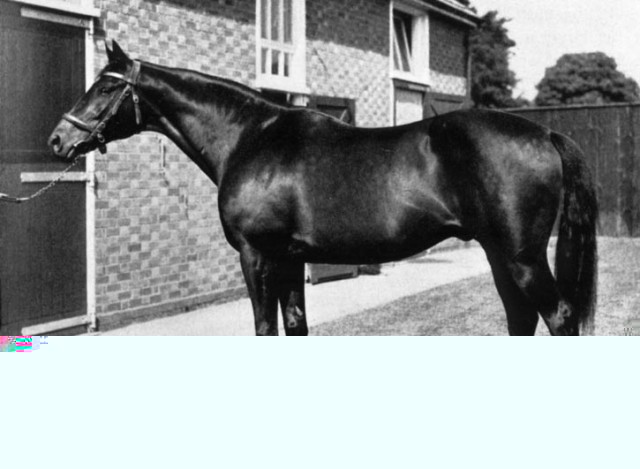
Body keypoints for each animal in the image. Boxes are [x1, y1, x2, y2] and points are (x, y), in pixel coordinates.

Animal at [48, 40, 598, 336]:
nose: (58, 140)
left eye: (106, 85)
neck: (250, 137)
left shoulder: (257, 254)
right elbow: (295, 324)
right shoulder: (291, 258)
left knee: (558, 315)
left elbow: (264, 326)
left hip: (522, 257)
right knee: (521, 317)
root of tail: (544, 133)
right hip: (498, 253)